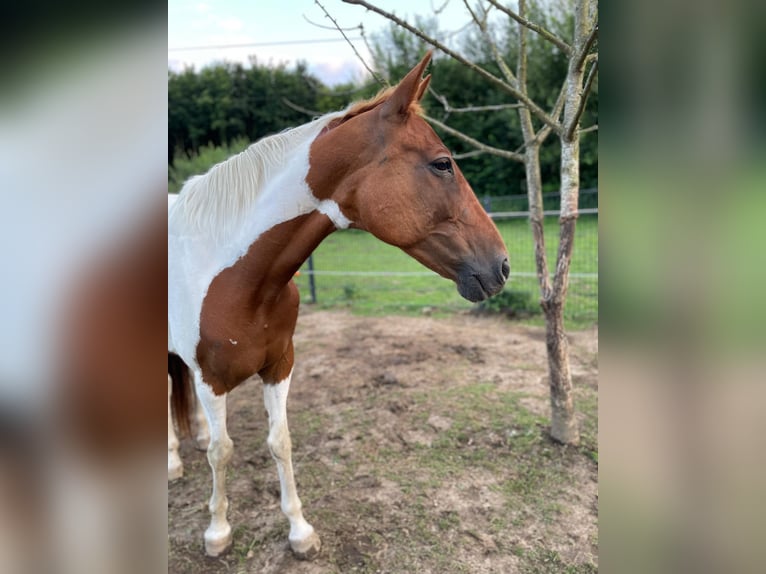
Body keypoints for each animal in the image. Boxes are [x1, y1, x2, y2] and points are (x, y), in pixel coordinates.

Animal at [167, 52, 509, 559]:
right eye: (443, 163)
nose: (503, 265)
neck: (237, 278)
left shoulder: (279, 365)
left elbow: (279, 441)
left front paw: (299, 530)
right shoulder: (211, 376)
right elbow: (222, 453)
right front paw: (217, 532)